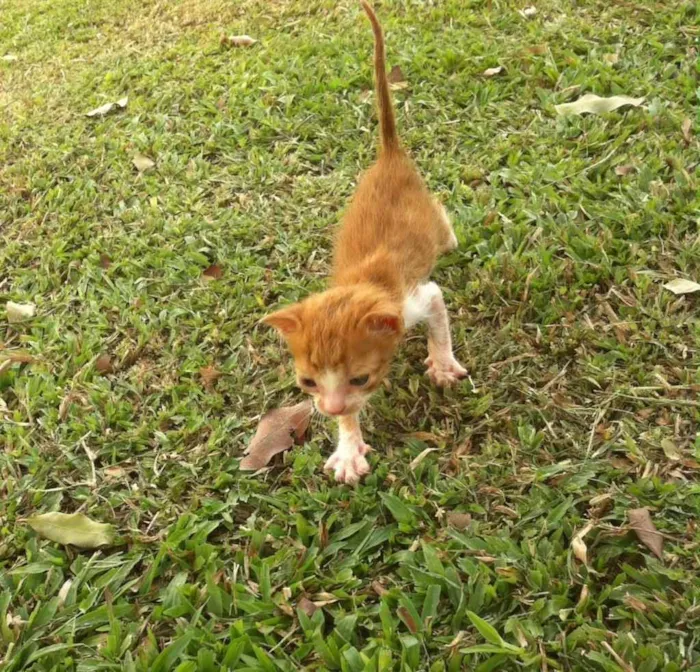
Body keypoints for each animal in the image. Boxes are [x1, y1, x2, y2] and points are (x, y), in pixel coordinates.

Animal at [262, 0, 464, 484]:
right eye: (307, 383)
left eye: (362, 378)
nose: (331, 406)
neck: (364, 283)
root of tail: (389, 155)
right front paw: (348, 444)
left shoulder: (416, 297)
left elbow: (438, 314)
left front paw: (442, 362)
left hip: (428, 213)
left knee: (441, 216)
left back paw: (449, 236)